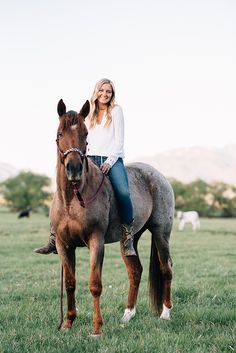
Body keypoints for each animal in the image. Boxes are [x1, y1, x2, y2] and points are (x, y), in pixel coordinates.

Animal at [49, 99, 174, 336]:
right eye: (60, 133)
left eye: (85, 134)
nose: (74, 169)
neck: (73, 199)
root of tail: (158, 175)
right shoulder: (63, 245)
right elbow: (70, 283)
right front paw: (68, 323)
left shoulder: (96, 241)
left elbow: (95, 284)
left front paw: (97, 328)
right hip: (130, 240)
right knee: (135, 271)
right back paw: (128, 315)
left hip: (161, 234)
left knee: (166, 270)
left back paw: (165, 313)